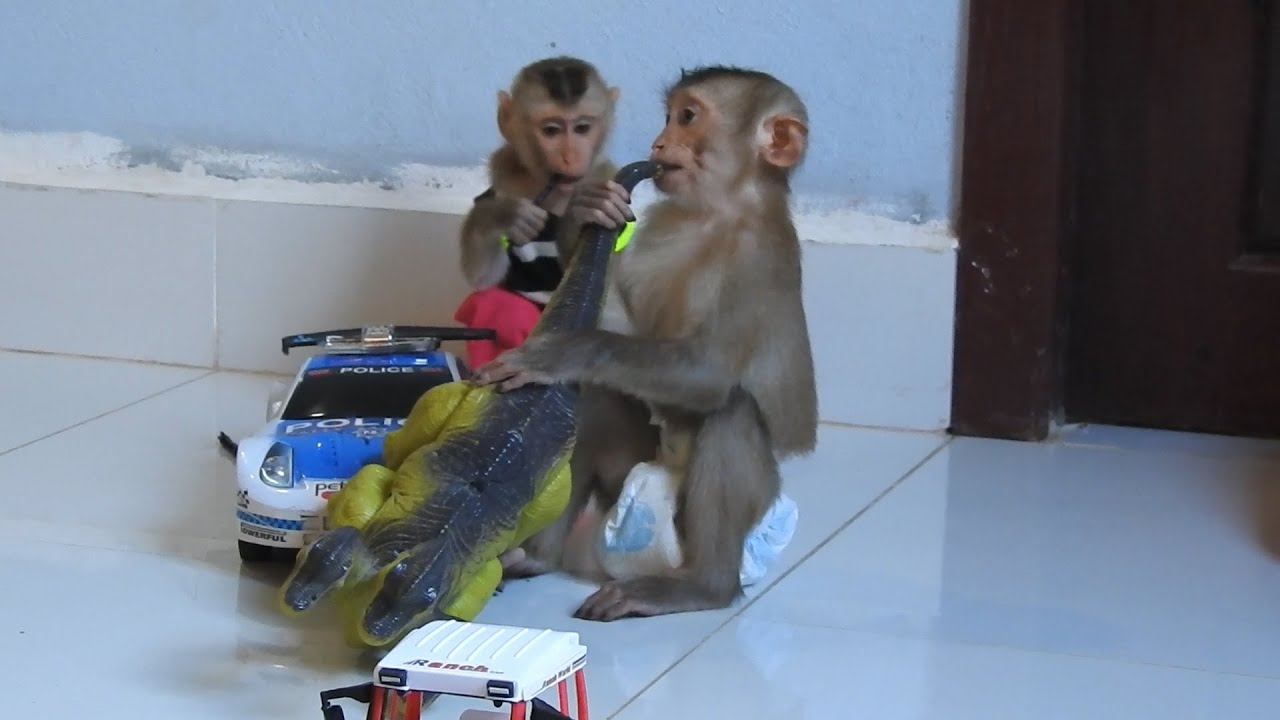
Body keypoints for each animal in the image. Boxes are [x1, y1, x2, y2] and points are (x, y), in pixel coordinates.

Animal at [453, 56, 621, 370]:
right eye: (551, 130)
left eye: (581, 128)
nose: (570, 155)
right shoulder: (500, 184)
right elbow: (484, 280)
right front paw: (503, 216)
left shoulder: (611, 181)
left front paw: (584, 211)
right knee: (495, 302)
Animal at [476, 66, 818, 621]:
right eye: (670, 115)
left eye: (689, 117)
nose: (659, 142)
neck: (715, 213)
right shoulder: (660, 228)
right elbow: (624, 326)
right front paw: (588, 210)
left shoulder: (757, 260)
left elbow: (709, 376)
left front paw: (566, 350)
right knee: (594, 399)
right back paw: (536, 556)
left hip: (740, 528)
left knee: (733, 412)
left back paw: (702, 586)